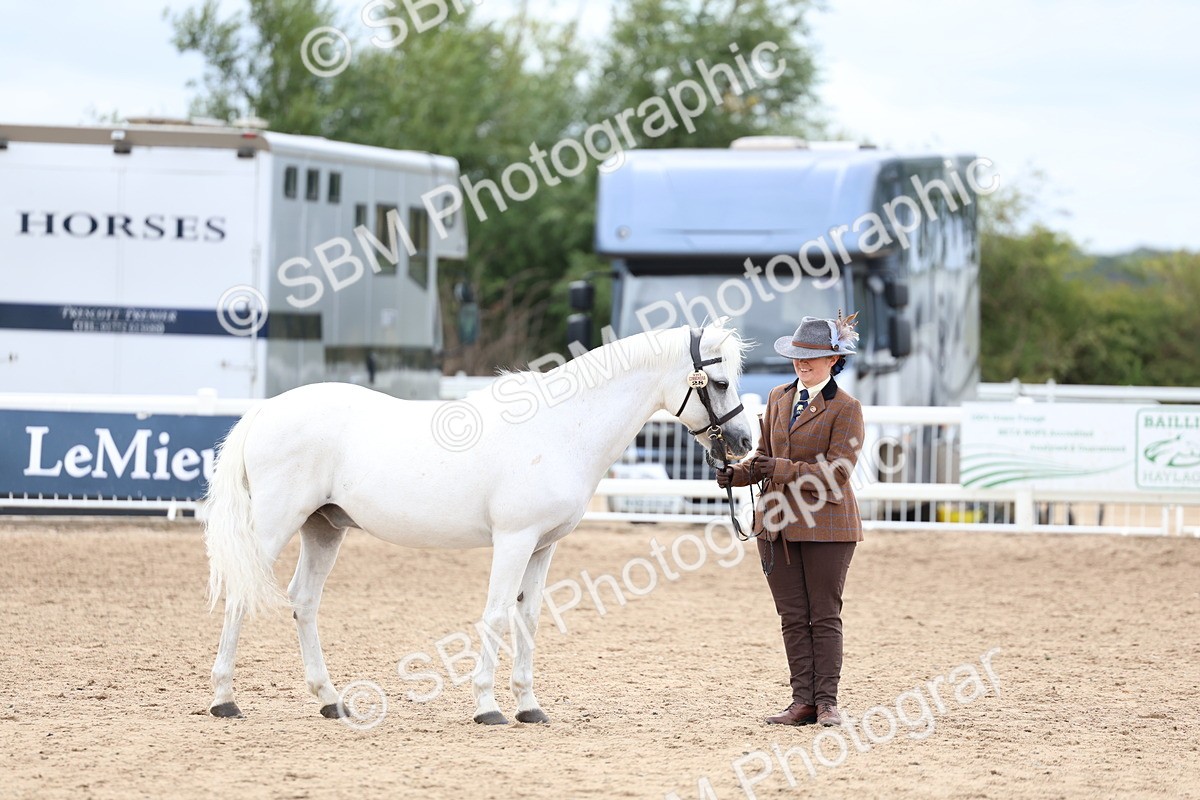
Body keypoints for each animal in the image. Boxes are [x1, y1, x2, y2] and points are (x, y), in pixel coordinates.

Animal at [203, 322, 754, 725]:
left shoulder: (542, 547)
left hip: (324, 528)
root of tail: (266, 410)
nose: (746, 443)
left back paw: (329, 700)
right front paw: (488, 707)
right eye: (721, 382)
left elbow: (529, 618)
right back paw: (224, 700)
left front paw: (529, 707)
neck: (561, 429)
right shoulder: (514, 540)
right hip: (274, 524)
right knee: (241, 593)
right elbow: (494, 615)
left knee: (304, 601)